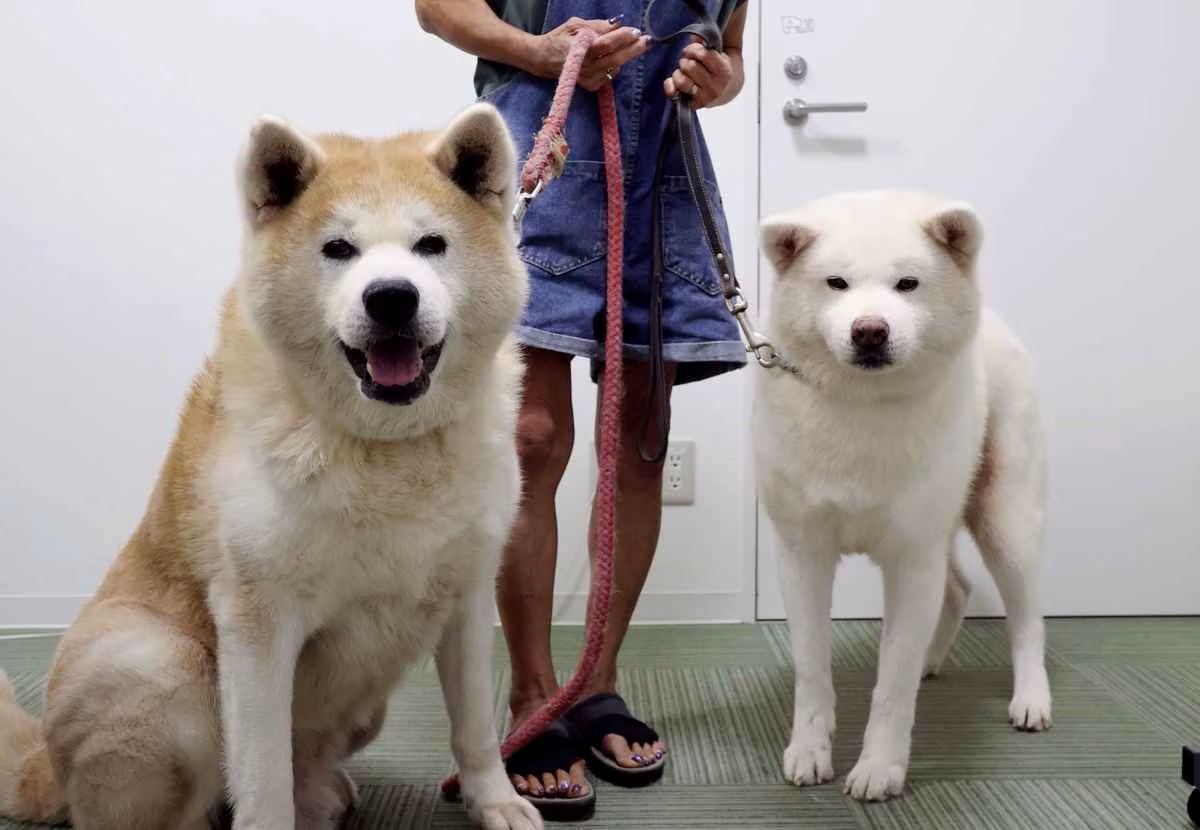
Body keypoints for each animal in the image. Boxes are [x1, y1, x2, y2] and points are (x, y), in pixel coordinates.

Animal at [0, 105, 540, 830]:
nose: (391, 297)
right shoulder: (258, 623)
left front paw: (494, 800)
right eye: (339, 249)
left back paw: (323, 796)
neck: (385, 447)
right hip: (163, 665)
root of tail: (45, 769)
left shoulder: (469, 598)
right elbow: (261, 778)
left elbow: (475, 726)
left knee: (309, 765)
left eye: (432, 244)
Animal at [758, 190, 1051, 801]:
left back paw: (1031, 699)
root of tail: (995, 323)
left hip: (1004, 521)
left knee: (1026, 620)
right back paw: (930, 662)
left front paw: (880, 766)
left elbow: (891, 686)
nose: (870, 330)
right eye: (836, 283)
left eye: (907, 284)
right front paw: (810, 749)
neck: (863, 409)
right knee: (958, 589)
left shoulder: (913, 559)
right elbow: (811, 668)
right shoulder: (803, 552)